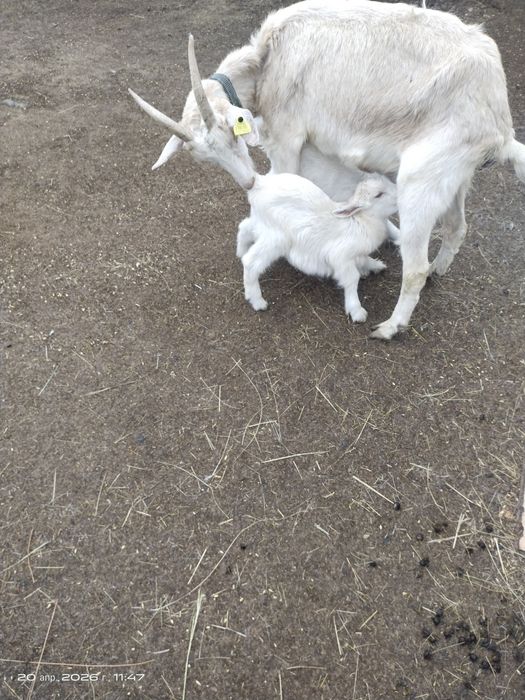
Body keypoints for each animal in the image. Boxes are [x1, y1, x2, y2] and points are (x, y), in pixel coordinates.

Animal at [129, 1, 525, 339]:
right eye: (204, 158)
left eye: (231, 135)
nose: (247, 181)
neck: (268, 60)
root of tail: (500, 124)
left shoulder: (287, 140)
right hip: (454, 177)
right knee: (456, 228)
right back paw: (434, 273)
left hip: (421, 179)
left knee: (413, 269)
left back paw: (389, 327)